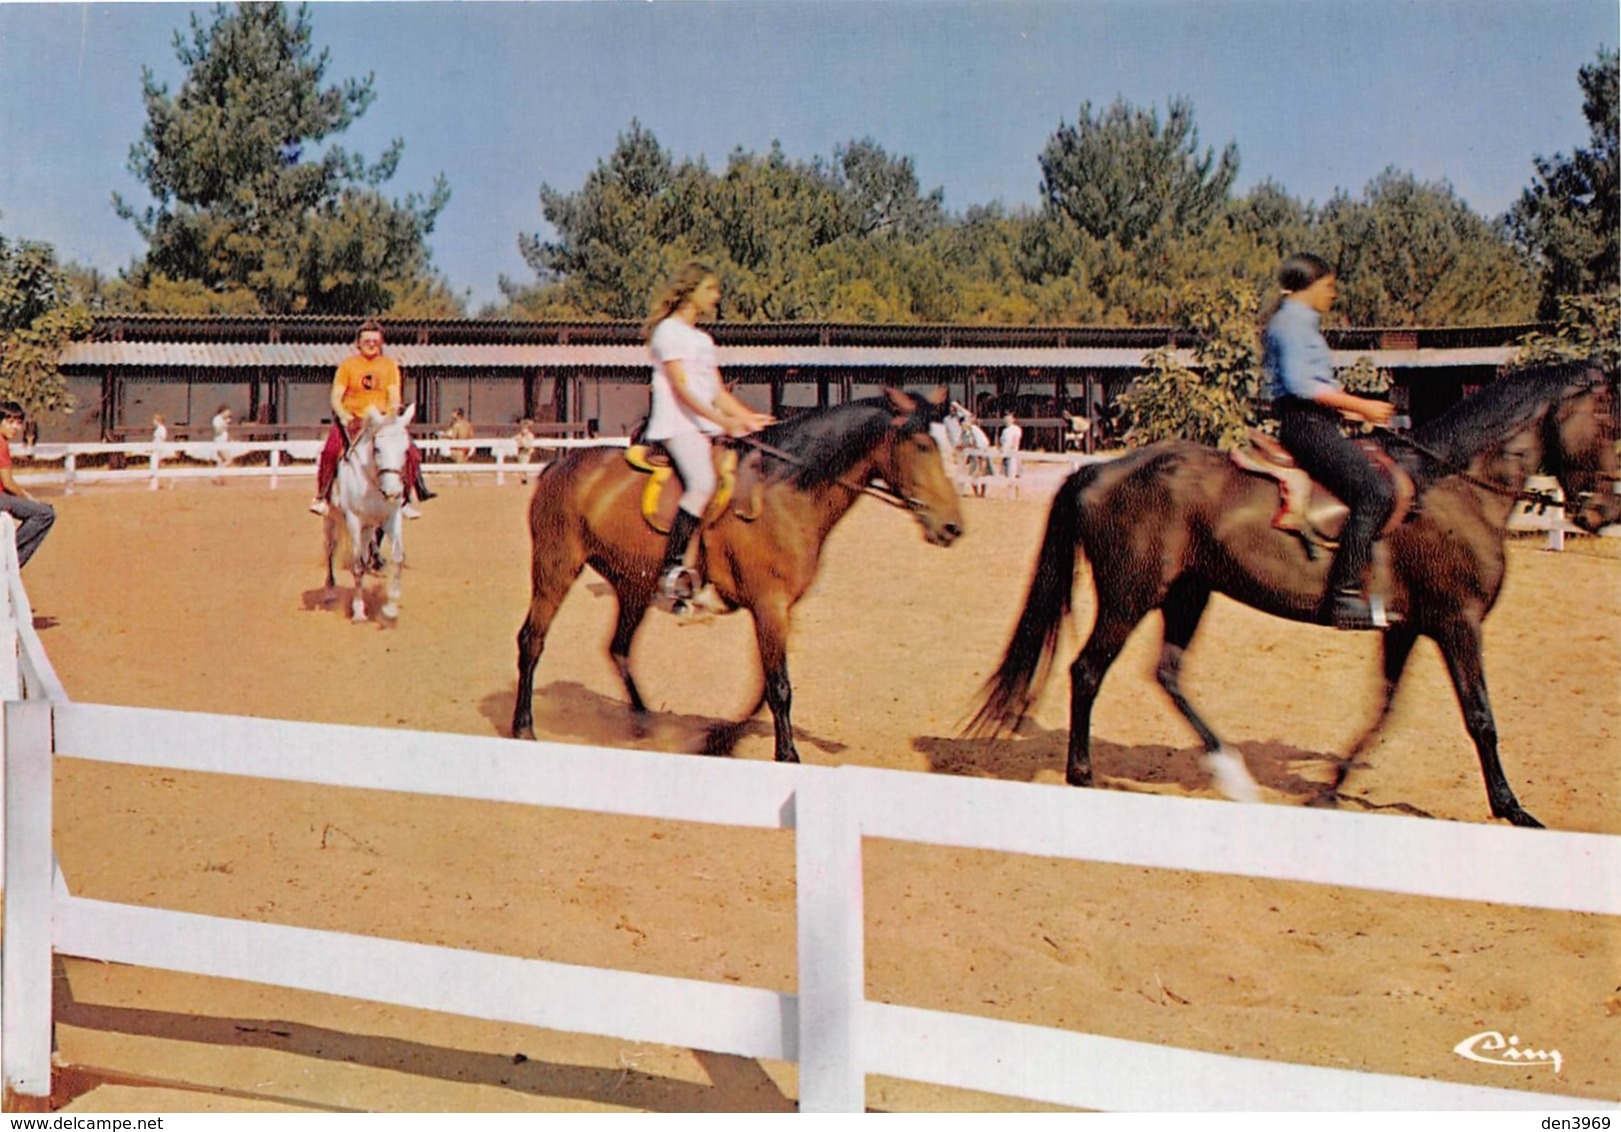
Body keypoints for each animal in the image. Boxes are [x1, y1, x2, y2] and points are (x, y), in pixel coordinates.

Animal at [512, 385, 959, 758]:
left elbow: (764, 687)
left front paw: (720, 740)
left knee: (619, 648)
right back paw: (523, 727)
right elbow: (778, 687)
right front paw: (788, 755)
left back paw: (645, 725)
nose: (953, 527)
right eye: (922, 445)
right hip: (556, 566)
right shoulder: (769, 605)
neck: (785, 491)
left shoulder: (779, 609)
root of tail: (561, 466)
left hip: (632, 584)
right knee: (532, 640)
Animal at [966, 361, 1614, 830]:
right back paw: (1084, 775)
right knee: (1088, 671)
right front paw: (1513, 809)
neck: (1454, 491)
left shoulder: (1407, 627)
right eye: (1610, 422)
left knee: (1167, 673)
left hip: (1188, 593)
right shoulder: (1458, 623)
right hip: (1132, 595)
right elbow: (1480, 717)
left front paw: (1330, 788)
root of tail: (1101, 469)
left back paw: (1232, 773)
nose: (1603, 512)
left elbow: (1382, 710)